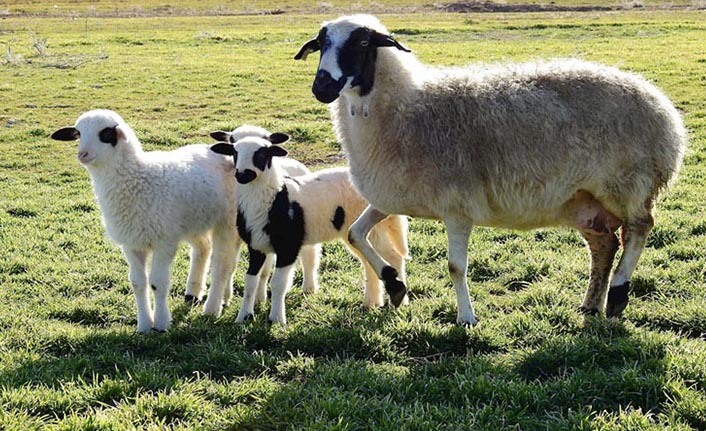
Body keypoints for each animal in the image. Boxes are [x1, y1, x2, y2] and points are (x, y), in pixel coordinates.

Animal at [209, 137, 408, 326]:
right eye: (234, 153)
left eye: (263, 153)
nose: (243, 174)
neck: (275, 197)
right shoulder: (256, 246)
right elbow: (250, 281)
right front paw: (243, 317)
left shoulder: (289, 247)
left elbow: (278, 283)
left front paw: (276, 319)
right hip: (352, 232)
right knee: (369, 263)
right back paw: (371, 302)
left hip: (373, 229)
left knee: (393, 256)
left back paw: (398, 300)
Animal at [294, 13, 684, 326]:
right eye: (321, 44)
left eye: (362, 41)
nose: (322, 86)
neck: (404, 109)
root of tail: (663, 107)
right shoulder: (393, 197)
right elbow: (355, 235)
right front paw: (395, 286)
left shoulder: (457, 207)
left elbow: (455, 267)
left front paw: (466, 318)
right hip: (583, 201)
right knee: (604, 245)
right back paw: (591, 304)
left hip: (628, 183)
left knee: (639, 228)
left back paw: (618, 294)